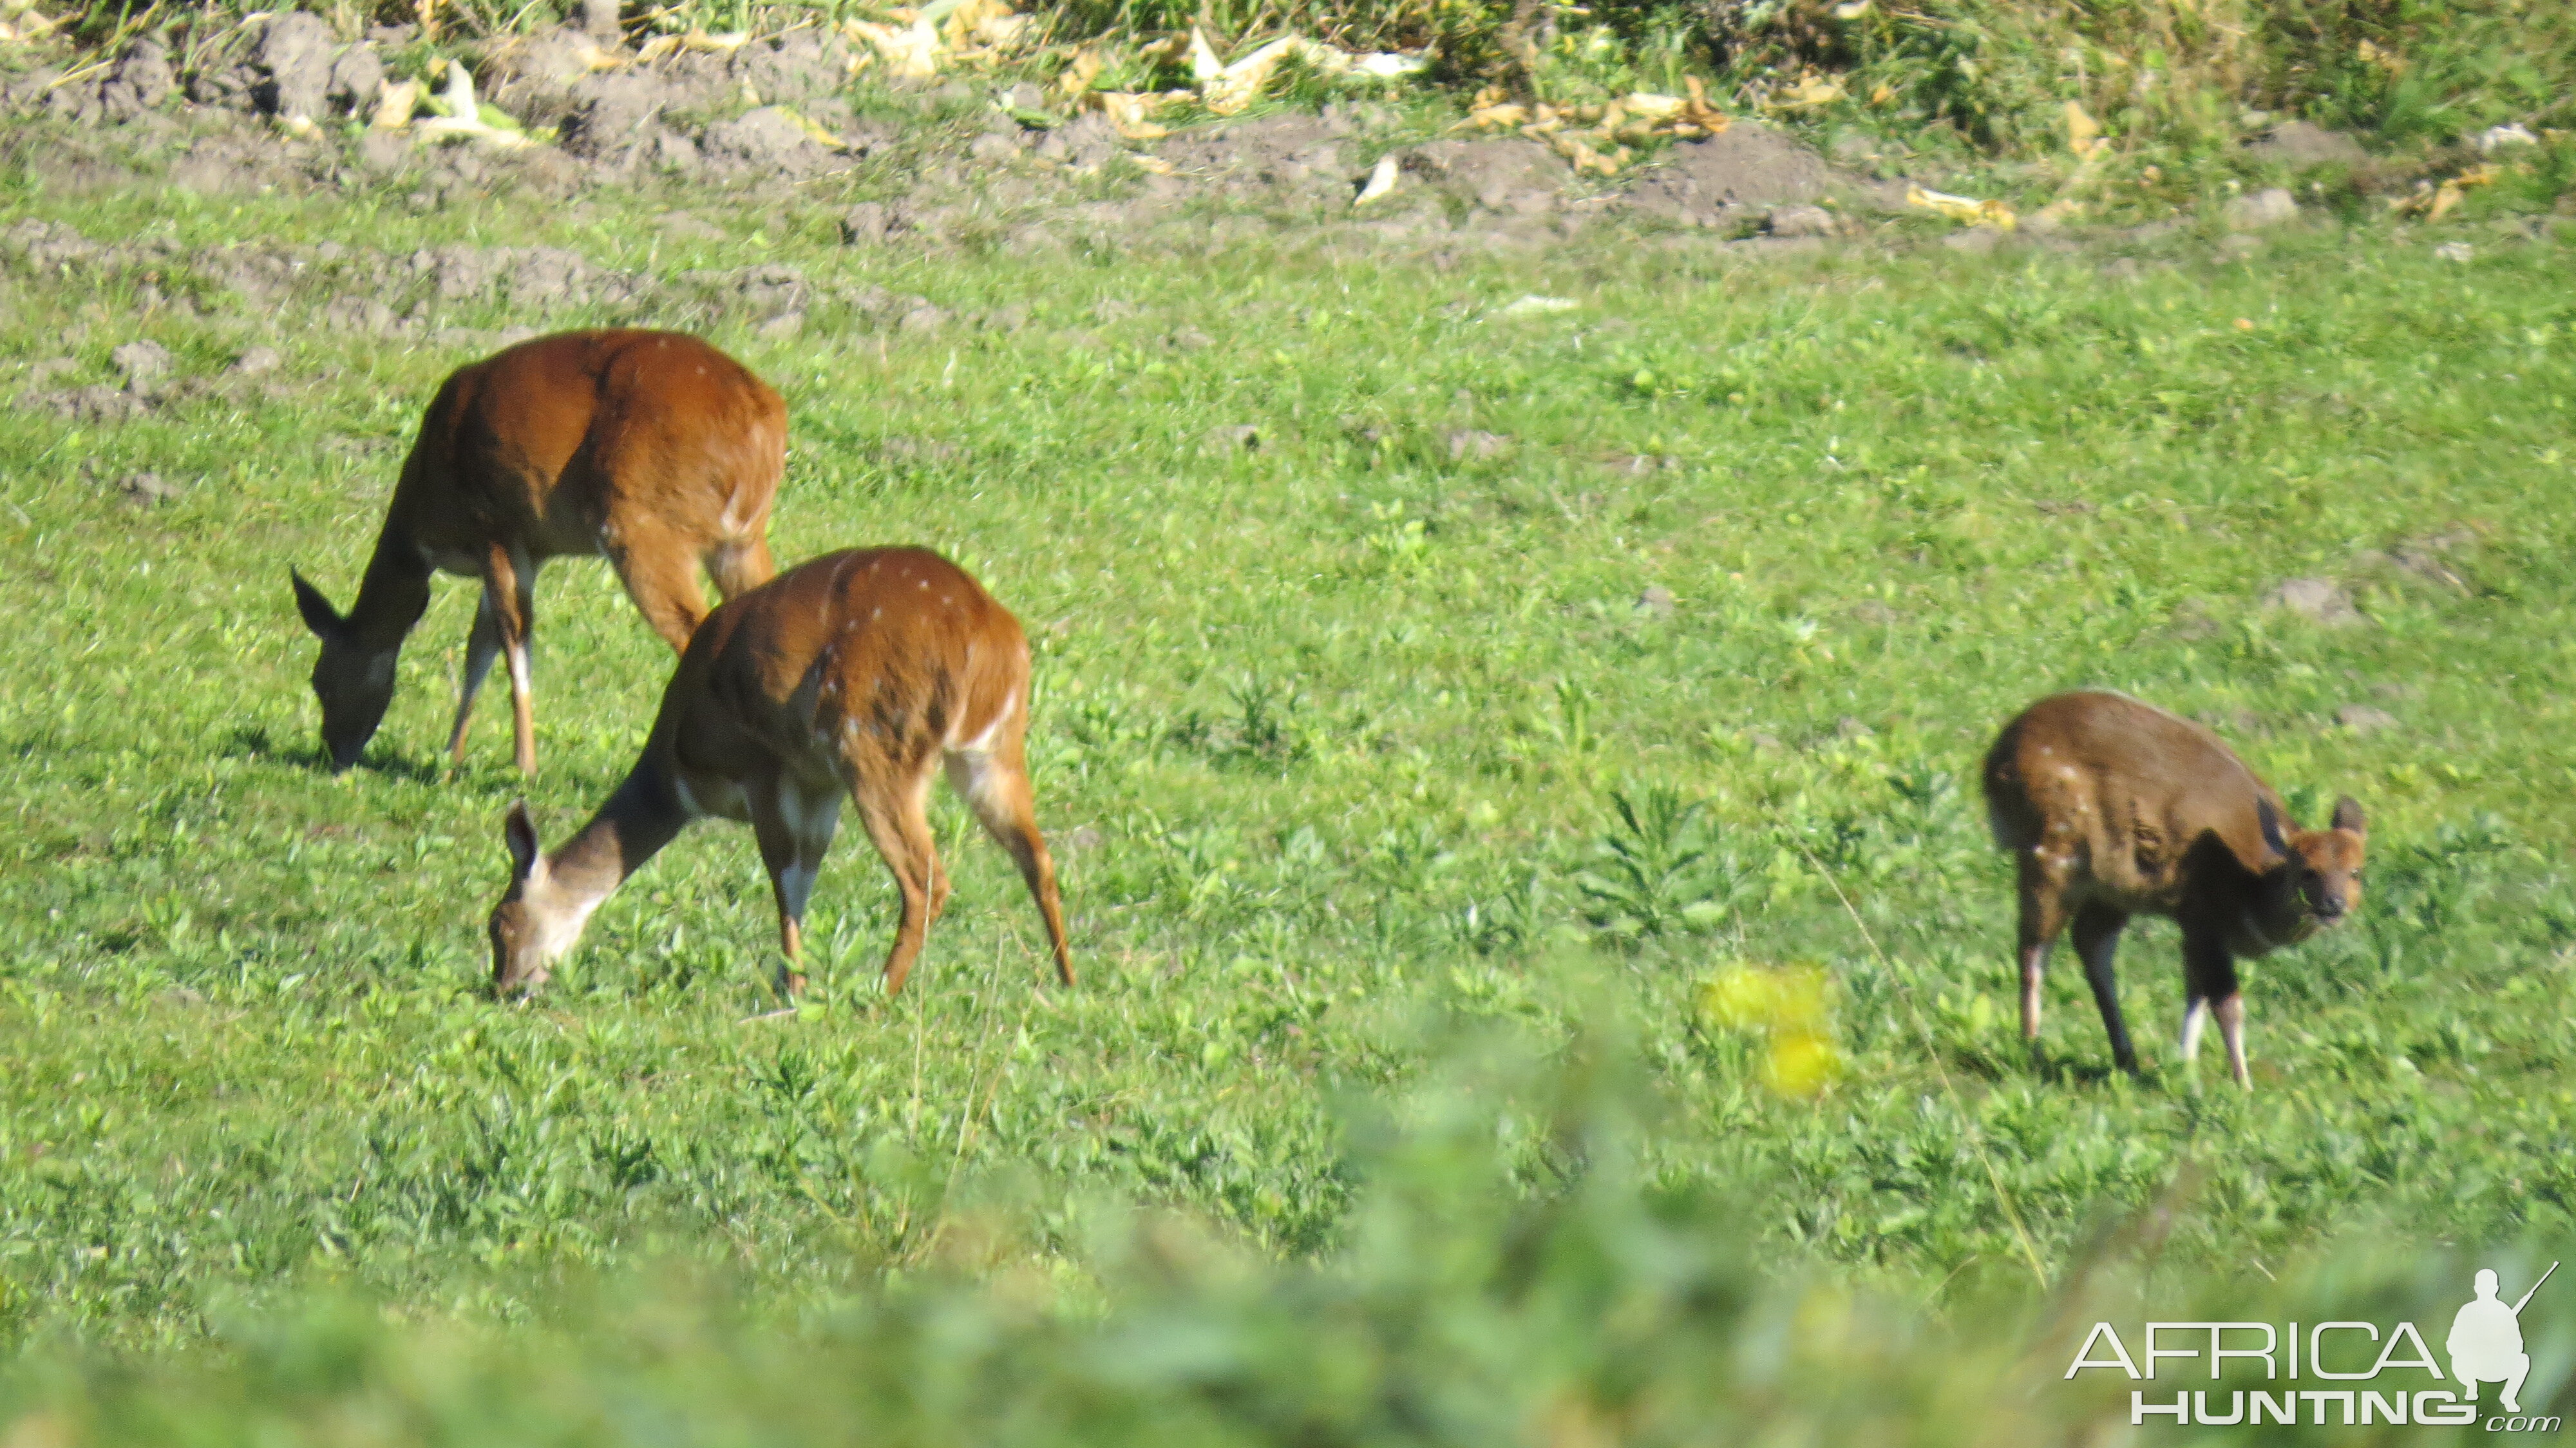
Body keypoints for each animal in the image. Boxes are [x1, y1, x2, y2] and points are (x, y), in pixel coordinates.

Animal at [286, 329, 778, 773]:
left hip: (640, 526)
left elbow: (513, 645)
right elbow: (479, 650)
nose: (334, 754)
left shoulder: (495, 528)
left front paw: (523, 766)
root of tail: (759, 412)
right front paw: (451, 758)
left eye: (320, 682)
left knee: (695, 627)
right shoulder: (532, 548)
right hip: (740, 541)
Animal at [487, 546, 1072, 1000]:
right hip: (992, 752)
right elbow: (807, 869)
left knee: (925, 878)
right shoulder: (818, 784)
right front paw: (791, 981)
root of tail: (992, 642)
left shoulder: (765, 766)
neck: (679, 771)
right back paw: (1066, 980)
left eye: (501, 925)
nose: (506, 987)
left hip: (876, 745)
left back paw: (879, 995)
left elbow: (784, 875)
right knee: (1036, 855)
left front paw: (792, 988)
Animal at [1978, 685, 2360, 1082]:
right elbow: (2226, 1002)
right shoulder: (2202, 915)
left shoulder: (2192, 925)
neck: (2249, 881)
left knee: (2089, 942)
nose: (2334, 904)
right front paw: (2243, 1084)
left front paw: (2185, 1067)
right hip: (2053, 855)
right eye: (2307, 870)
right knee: (2035, 946)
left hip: (2114, 887)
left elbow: (2196, 993)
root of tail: (1997, 756)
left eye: (2355, 871)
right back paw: (2033, 1049)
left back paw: (2127, 1058)